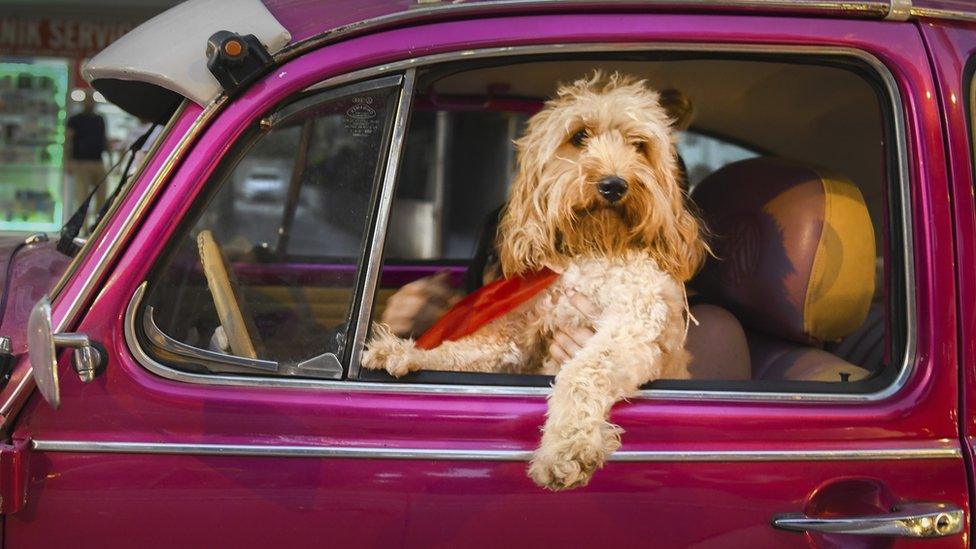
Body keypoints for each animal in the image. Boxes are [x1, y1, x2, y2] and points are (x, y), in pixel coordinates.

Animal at [366, 71, 708, 488]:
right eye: (579, 136)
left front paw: (566, 450)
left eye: (639, 145)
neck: (593, 249)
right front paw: (405, 352)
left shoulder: (632, 328)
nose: (613, 185)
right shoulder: (521, 332)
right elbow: (467, 349)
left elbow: (582, 372)